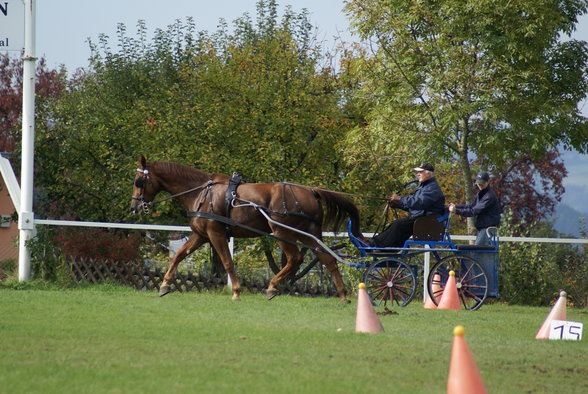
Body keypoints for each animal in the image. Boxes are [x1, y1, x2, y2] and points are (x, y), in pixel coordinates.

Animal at [130, 155, 362, 300]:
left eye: (139, 180)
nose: (134, 207)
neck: (201, 192)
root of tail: (311, 191)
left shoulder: (215, 233)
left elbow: (227, 262)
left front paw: (236, 292)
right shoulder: (201, 235)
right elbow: (178, 256)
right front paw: (164, 285)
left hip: (282, 231)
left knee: (295, 258)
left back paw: (272, 287)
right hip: (308, 234)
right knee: (328, 259)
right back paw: (342, 295)